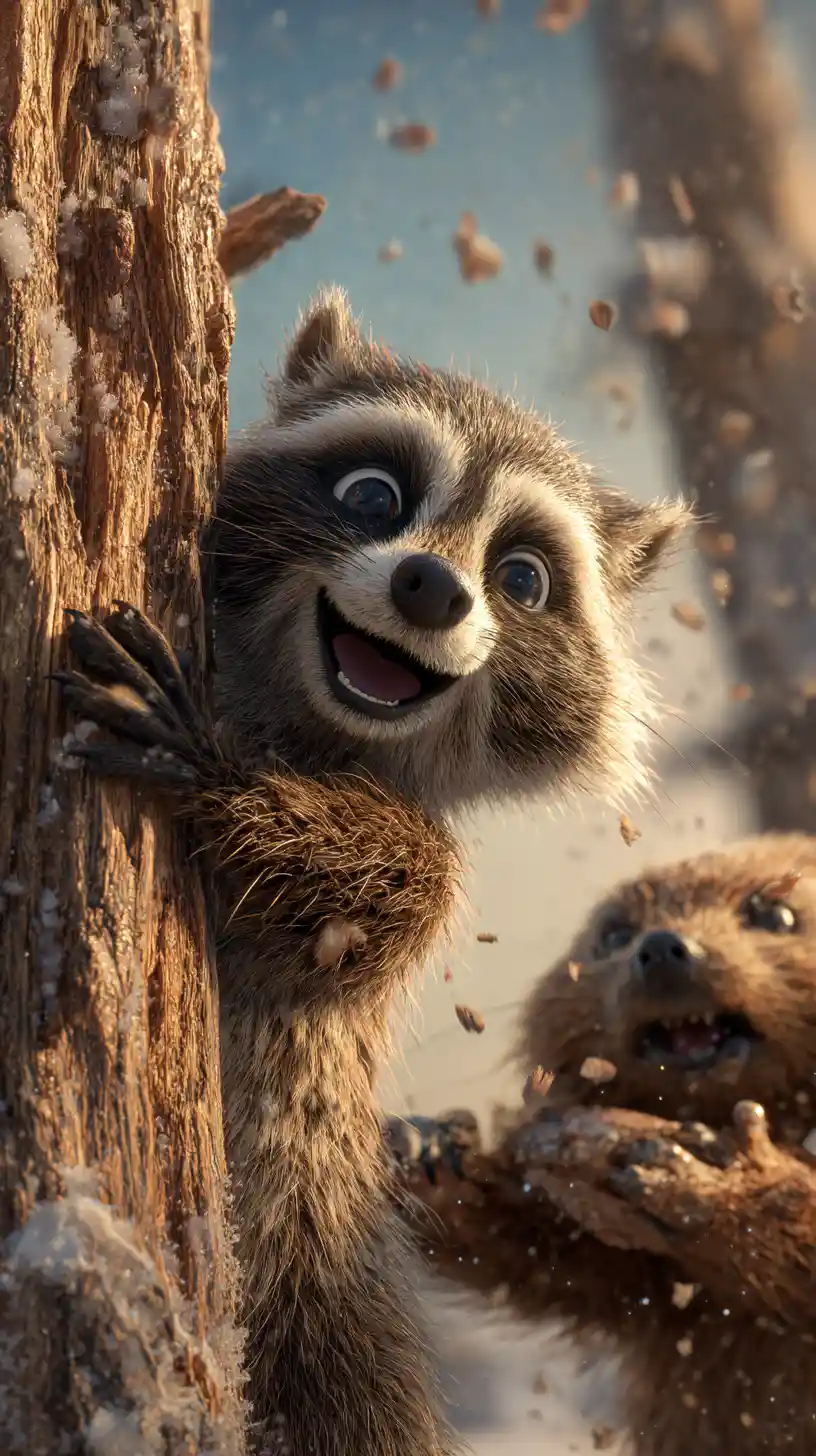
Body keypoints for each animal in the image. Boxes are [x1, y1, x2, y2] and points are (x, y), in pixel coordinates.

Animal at [57, 288, 687, 1455]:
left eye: (521, 577)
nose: (432, 586)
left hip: (318, 1283)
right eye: (372, 495)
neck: (313, 718)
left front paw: (215, 770)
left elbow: (358, 902)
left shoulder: (418, 861)